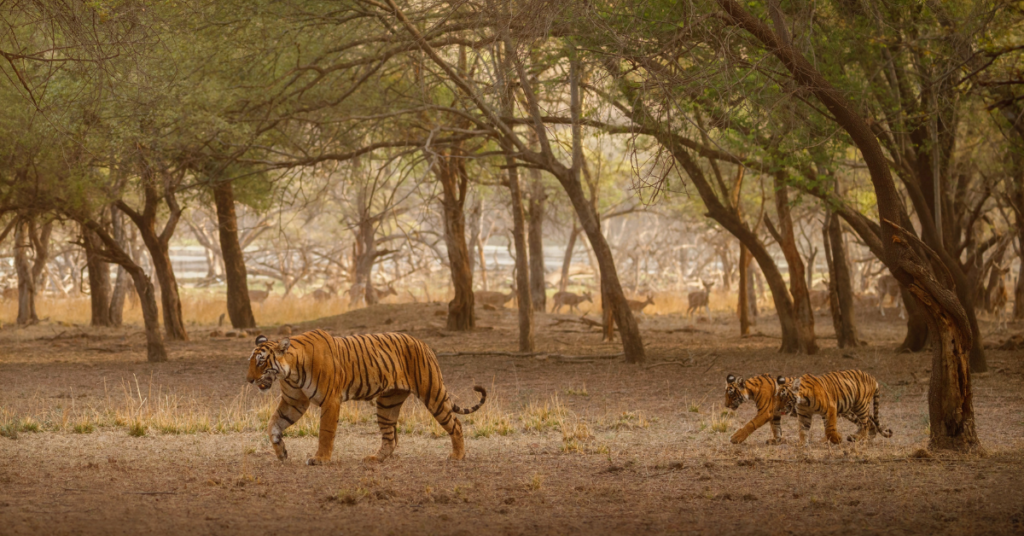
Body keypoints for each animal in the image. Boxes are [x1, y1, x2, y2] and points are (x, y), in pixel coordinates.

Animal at [246, 329, 486, 465]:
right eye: (251, 361)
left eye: (261, 362)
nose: (248, 380)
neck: (291, 372)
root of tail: (423, 343)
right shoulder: (294, 402)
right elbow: (273, 424)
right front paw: (281, 452)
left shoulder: (330, 400)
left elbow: (325, 432)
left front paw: (320, 459)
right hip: (387, 403)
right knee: (390, 437)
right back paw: (375, 459)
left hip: (432, 393)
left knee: (456, 424)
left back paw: (457, 456)